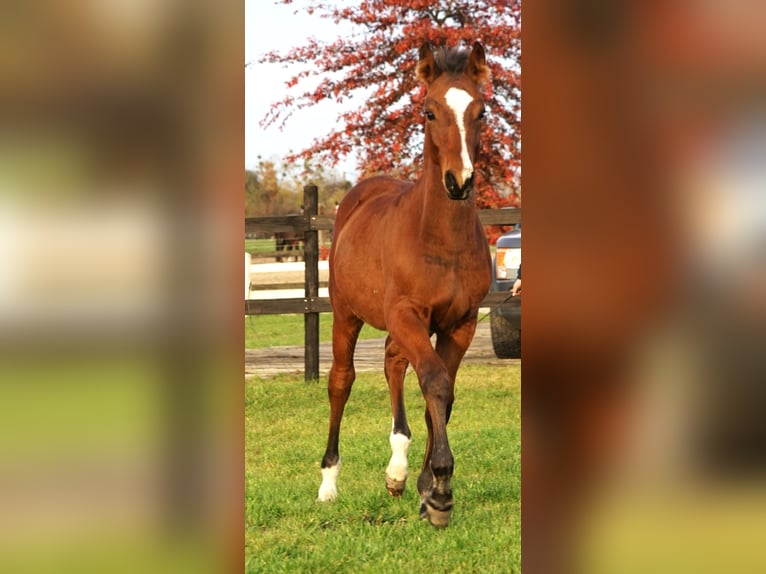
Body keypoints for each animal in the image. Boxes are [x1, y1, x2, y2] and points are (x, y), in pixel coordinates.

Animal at [317, 42, 492, 528]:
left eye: (481, 111)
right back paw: (328, 482)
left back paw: (396, 470)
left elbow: (443, 394)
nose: (459, 181)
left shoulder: (461, 323)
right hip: (346, 314)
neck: (440, 241)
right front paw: (441, 492)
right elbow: (433, 380)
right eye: (429, 112)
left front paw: (425, 486)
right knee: (341, 381)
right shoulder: (406, 314)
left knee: (394, 362)